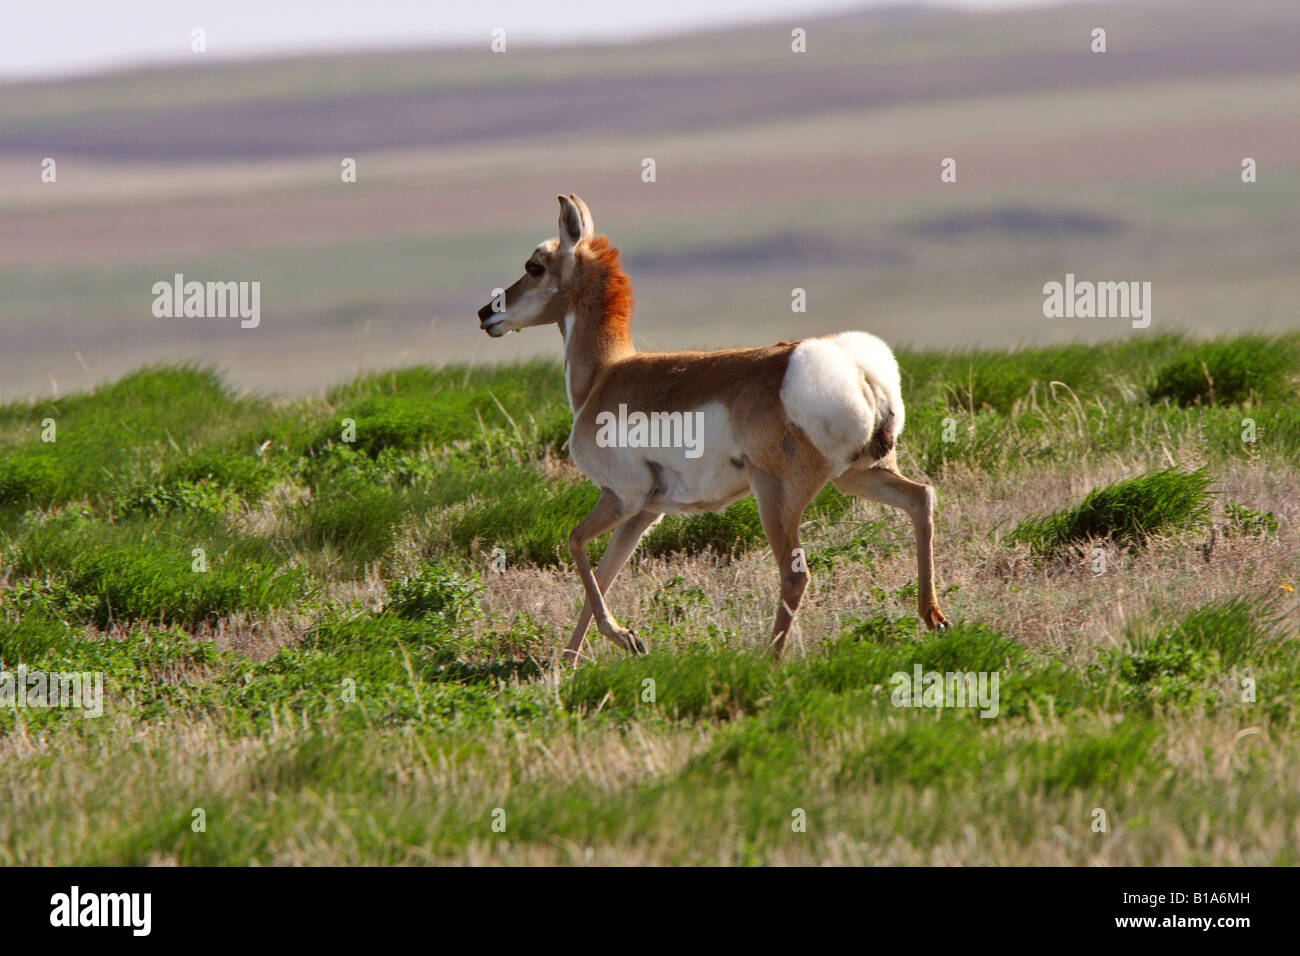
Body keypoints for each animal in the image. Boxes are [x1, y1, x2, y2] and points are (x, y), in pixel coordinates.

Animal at [478, 195, 946, 658]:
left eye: (534, 266)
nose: (485, 313)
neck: (606, 375)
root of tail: (855, 365)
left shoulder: (622, 498)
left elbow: (575, 542)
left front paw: (621, 638)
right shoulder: (644, 513)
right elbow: (607, 572)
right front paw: (572, 660)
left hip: (776, 495)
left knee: (795, 574)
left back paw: (767, 661)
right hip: (859, 476)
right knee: (920, 498)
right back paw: (933, 617)